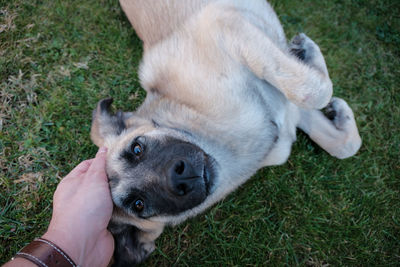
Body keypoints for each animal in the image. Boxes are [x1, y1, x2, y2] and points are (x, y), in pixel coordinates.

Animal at [90, 1, 362, 266]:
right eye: (139, 204)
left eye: (137, 148)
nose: (180, 176)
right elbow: (316, 96)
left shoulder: (226, 25)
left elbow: (334, 127)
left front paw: (314, 61)